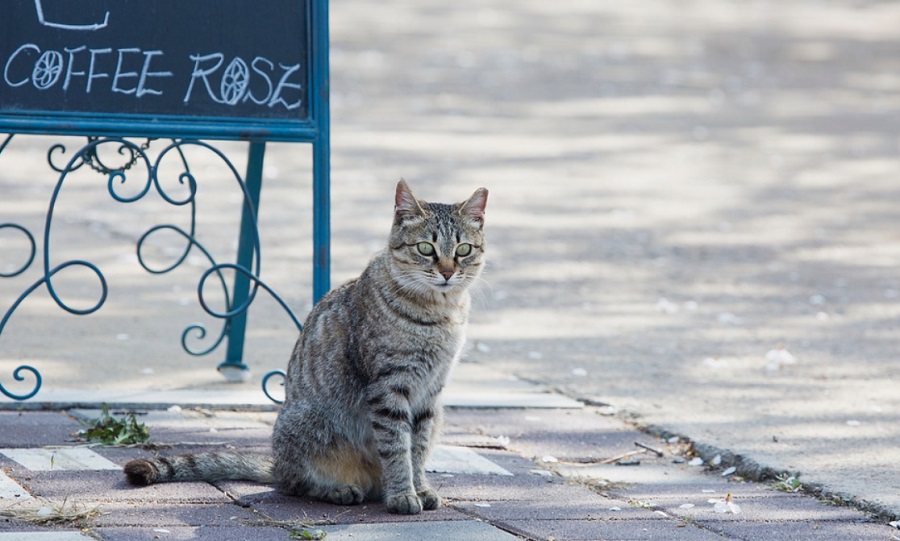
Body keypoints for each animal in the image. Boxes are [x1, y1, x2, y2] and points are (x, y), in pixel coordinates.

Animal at [124, 179, 488, 512]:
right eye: (426, 248)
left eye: (463, 250)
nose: (447, 272)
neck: (440, 313)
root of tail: (277, 463)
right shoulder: (389, 388)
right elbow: (398, 447)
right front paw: (402, 494)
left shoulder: (430, 394)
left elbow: (418, 448)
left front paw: (420, 488)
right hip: (309, 429)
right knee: (296, 483)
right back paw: (339, 489)